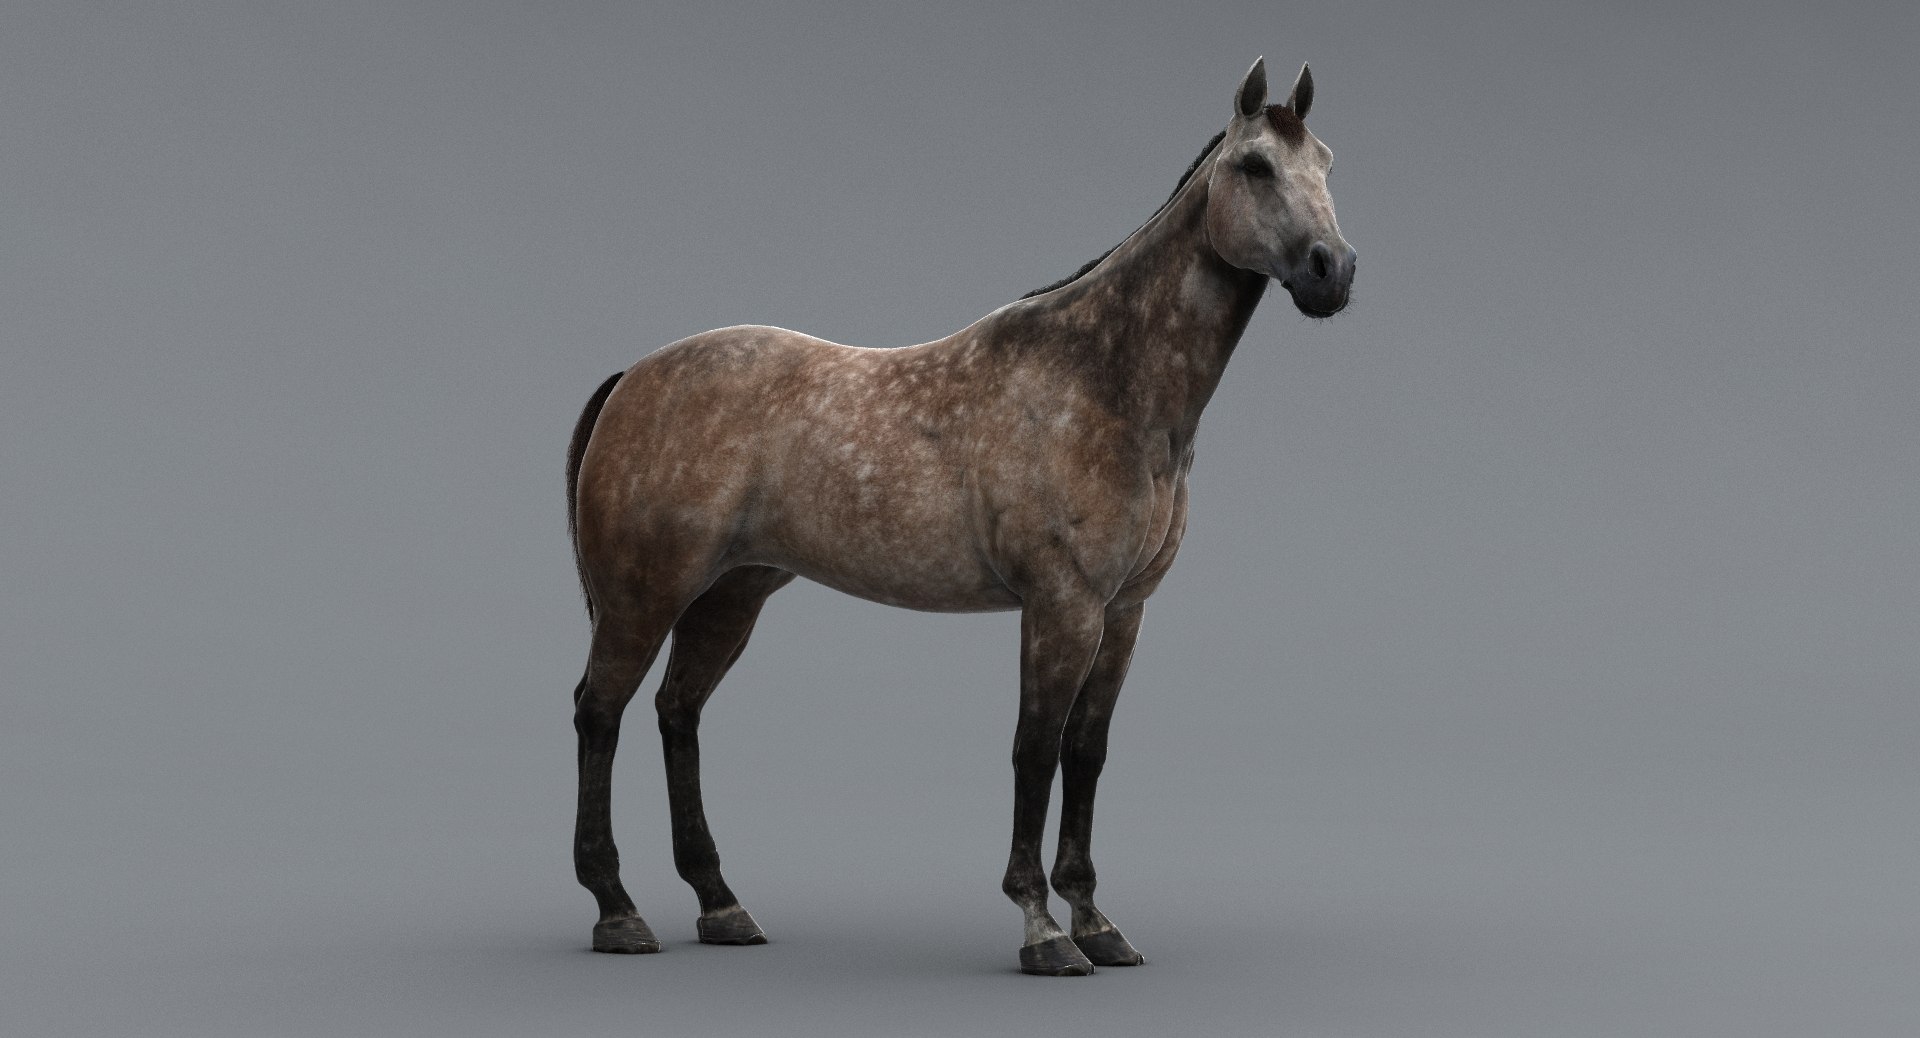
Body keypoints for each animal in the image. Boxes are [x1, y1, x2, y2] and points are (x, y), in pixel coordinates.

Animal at [563, 57, 1355, 976]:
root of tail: (633, 376)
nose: (1333, 269)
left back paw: (720, 903)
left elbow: (1086, 753)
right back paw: (617, 911)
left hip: (731, 596)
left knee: (677, 714)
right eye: (1255, 166)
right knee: (600, 713)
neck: (1106, 381)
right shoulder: (1061, 606)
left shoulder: (1123, 611)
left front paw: (1096, 921)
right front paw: (1043, 929)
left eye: (1325, 162)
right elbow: (1034, 751)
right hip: (643, 597)